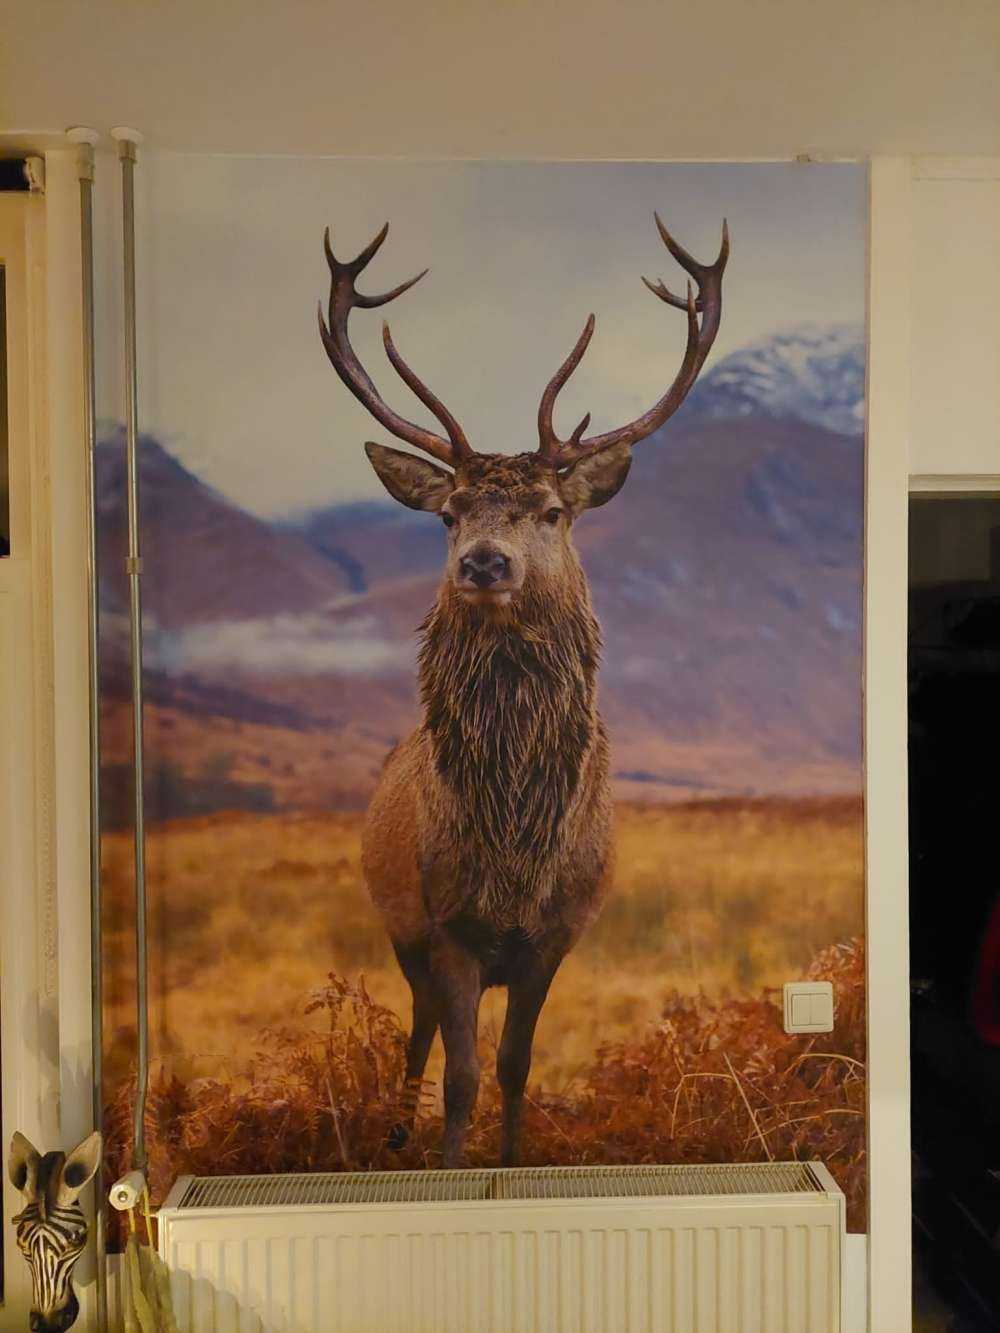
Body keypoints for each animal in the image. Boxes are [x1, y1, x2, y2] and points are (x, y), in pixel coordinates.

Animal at [318, 212, 728, 1168]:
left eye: (551, 510)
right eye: (448, 512)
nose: (483, 562)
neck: (514, 848)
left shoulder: (557, 935)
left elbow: (513, 1066)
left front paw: (510, 1163)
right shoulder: (447, 927)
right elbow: (462, 1074)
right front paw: (451, 1167)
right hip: (398, 927)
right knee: (417, 1032)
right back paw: (395, 1133)